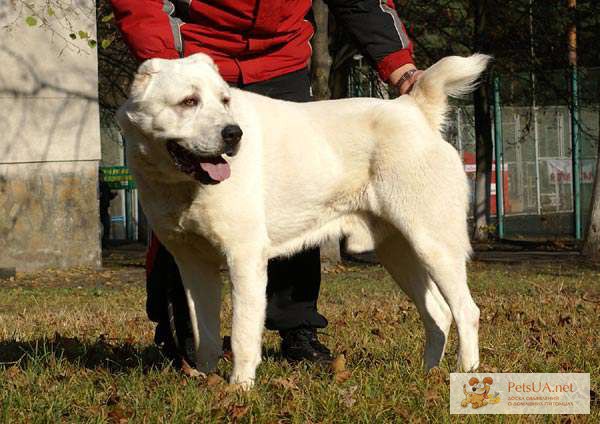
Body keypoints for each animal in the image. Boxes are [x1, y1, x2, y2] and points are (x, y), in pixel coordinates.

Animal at [116, 52, 488, 388]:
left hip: (434, 244)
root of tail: (413, 109)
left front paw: (240, 388)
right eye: (189, 101)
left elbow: (241, 334)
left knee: (465, 311)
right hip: (399, 253)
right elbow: (203, 333)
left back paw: (465, 373)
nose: (234, 133)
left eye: (224, 101)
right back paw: (428, 374)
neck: (183, 186)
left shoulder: (244, 257)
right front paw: (207, 382)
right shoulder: (192, 264)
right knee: (438, 313)